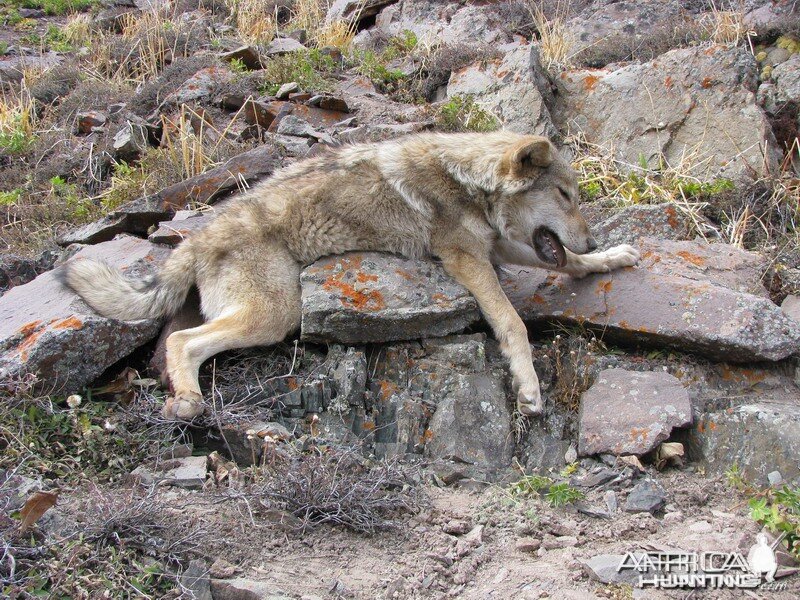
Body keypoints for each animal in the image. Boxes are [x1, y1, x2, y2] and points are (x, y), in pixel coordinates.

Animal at [61, 132, 636, 422]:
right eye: (564, 195)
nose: (589, 238)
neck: (466, 179)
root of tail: (196, 239)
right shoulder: (467, 258)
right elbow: (512, 323)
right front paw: (529, 388)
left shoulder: (497, 246)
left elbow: (568, 263)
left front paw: (608, 257)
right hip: (275, 314)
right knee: (181, 342)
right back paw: (188, 404)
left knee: (177, 343)